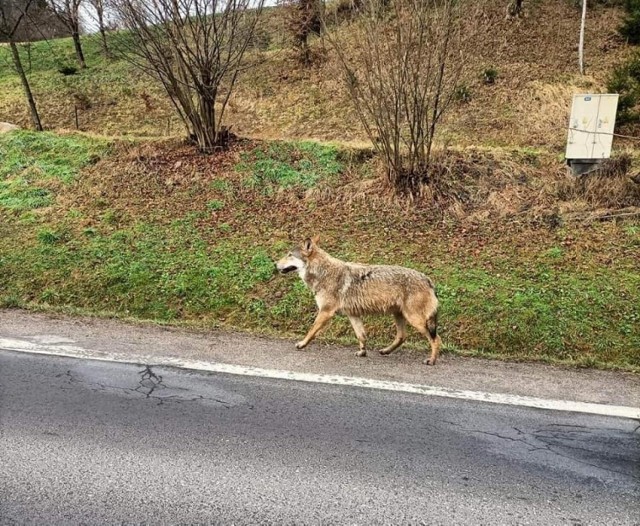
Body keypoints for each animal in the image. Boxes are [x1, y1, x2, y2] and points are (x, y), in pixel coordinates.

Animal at [278, 238, 442, 368]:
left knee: (436, 339)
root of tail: (428, 280)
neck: (323, 272)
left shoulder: (325, 312)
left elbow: (311, 331)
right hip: (399, 315)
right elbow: (361, 335)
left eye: (289, 255)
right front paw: (362, 352)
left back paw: (431, 360)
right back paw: (385, 351)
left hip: (415, 320)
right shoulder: (353, 315)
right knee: (402, 336)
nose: (275, 264)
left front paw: (302, 344)